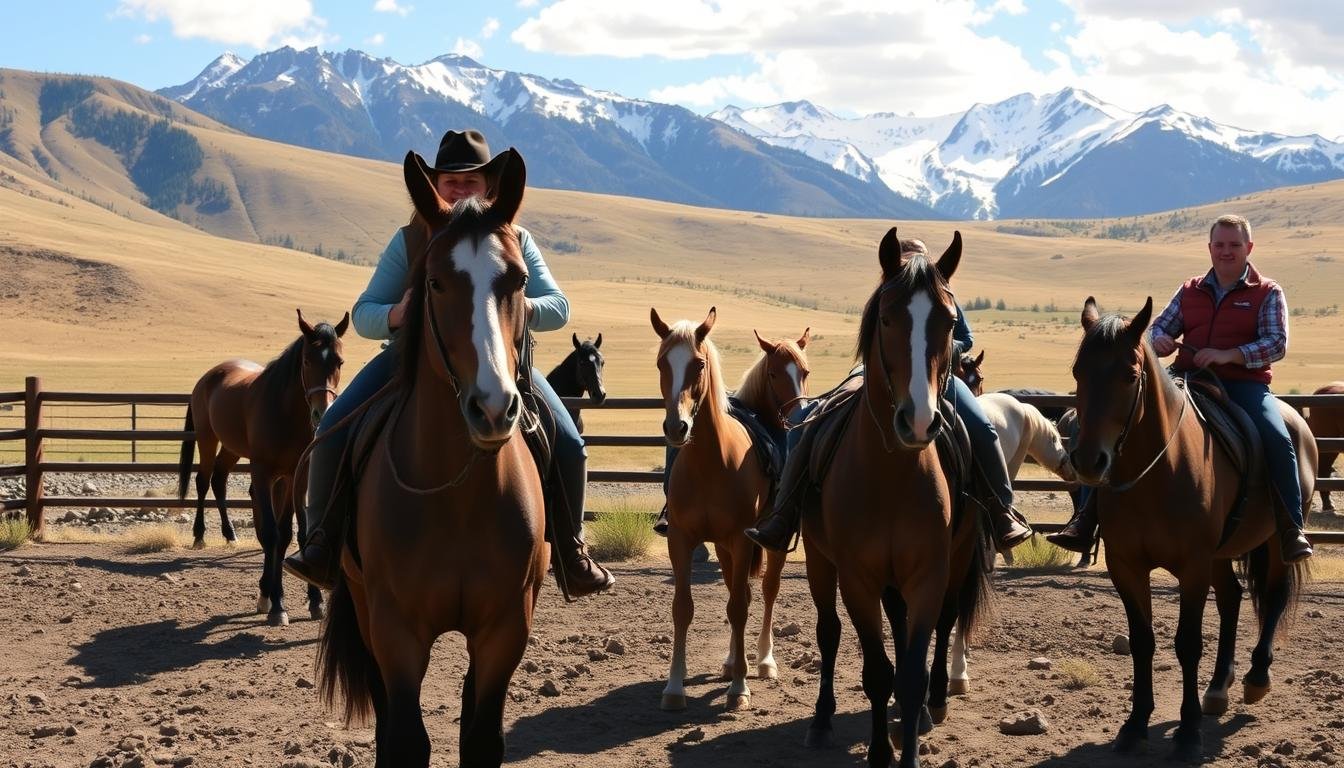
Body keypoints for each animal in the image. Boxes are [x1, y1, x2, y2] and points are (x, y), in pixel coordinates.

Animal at [177, 309, 347, 626]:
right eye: (307, 361)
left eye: (339, 362)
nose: (322, 412)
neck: (285, 411)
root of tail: (210, 376)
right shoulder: (263, 471)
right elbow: (271, 534)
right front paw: (275, 602)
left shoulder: (295, 475)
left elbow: (290, 534)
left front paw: (311, 599)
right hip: (207, 438)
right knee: (203, 481)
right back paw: (200, 535)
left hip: (232, 449)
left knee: (219, 479)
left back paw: (230, 535)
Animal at [650, 307, 801, 712]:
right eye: (661, 363)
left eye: (699, 364)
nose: (676, 426)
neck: (710, 461)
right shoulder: (682, 539)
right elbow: (683, 608)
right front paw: (674, 687)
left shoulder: (742, 538)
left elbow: (739, 607)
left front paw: (739, 689)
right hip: (724, 546)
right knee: (742, 591)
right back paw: (735, 661)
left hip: (768, 544)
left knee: (765, 591)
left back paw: (762, 662)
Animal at [801, 229, 989, 768]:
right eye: (886, 317)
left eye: (948, 321)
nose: (920, 421)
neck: (890, 477)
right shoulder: (858, 579)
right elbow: (877, 670)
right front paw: (881, 750)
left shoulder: (928, 573)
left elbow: (908, 672)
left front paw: (909, 741)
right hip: (820, 561)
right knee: (828, 632)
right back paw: (821, 720)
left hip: (955, 558)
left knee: (941, 624)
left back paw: (934, 704)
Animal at [1068, 296, 1312, 760]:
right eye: (1077, 372)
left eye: (1130, 375)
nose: (1090, 461)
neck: (1158, 472)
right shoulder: (1126, 566)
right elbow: (1142, 641)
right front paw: (1135, 725)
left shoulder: (1193, 567)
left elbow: (1187, 643)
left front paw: (1188, 732)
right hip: (1221, 553)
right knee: (1232, 599)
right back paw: (1217, 688)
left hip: (1273, 543)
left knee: (1272, 597)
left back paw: (1256, 678)